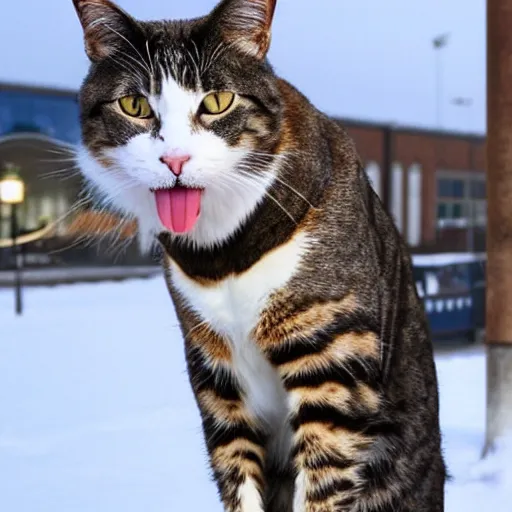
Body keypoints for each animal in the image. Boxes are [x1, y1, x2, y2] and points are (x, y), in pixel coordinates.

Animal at [71, 1, 444, 512]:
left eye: (217, 101)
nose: (175, 160)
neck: (223, 254)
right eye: (135, 106)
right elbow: (237, 470)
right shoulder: (216, 372)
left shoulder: (333, 353)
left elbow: (323, 479)